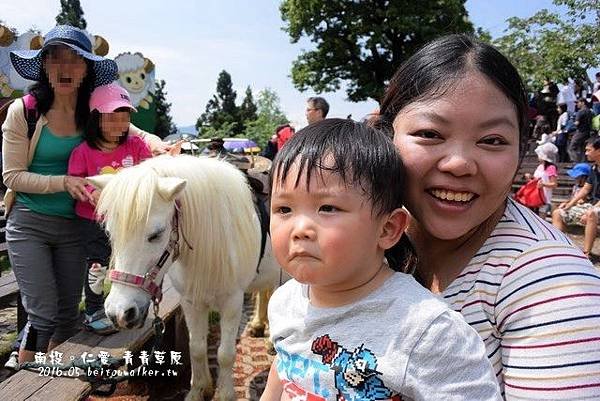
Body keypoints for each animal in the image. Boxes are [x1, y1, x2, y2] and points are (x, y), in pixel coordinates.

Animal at [89, 154, 282, 400]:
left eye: (156, 234)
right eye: (110, 233)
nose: (119, 313)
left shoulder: (232, 302)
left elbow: (225, 353)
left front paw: (224, 393)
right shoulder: (190, 301)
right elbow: (197, 347)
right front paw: (199, 389)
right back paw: (258, 325)